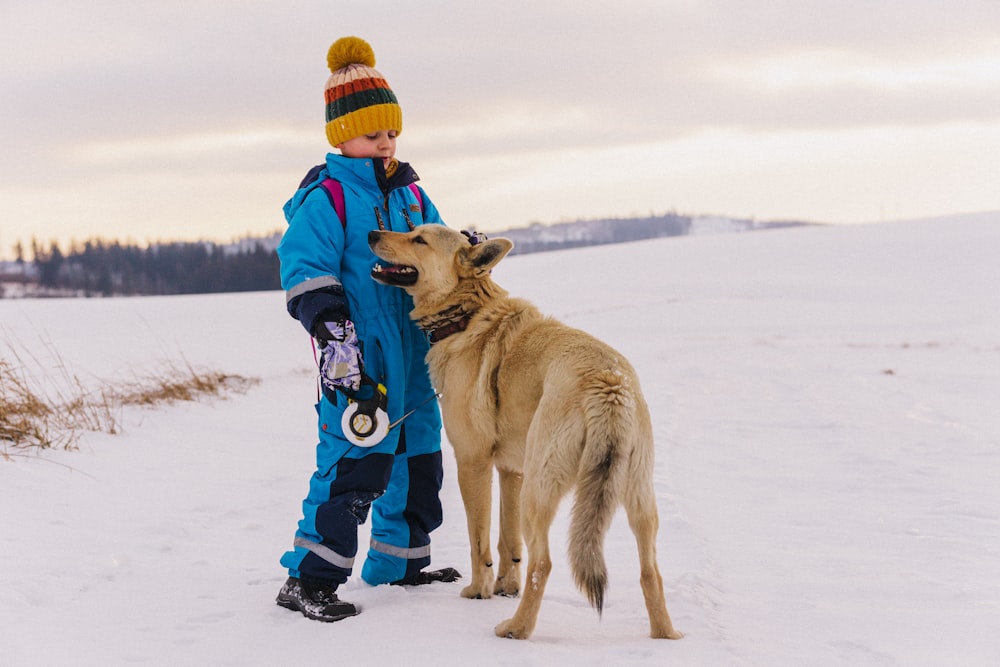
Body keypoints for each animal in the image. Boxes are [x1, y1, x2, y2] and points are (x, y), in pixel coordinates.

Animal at [372, 226, 684, 640]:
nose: (372, 233)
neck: (467, 316)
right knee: (650, 571)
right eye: (410, 230)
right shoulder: (511, 470)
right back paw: (665, 634)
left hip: (540, 488)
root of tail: (608, 384)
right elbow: (508, 541)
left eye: (419, 239)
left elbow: (479, 541)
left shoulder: (473, 463)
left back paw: (516, 629)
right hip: (637, 498)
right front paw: (506, 586)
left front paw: (479, 591)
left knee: (545, 563)